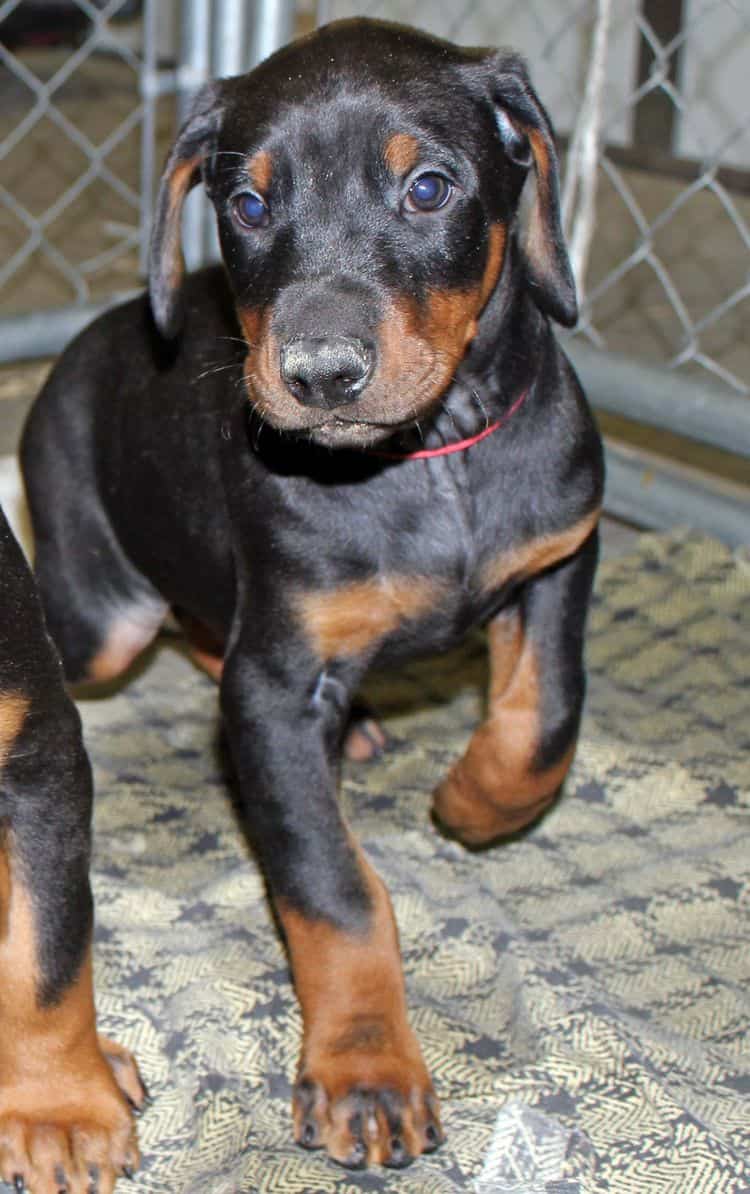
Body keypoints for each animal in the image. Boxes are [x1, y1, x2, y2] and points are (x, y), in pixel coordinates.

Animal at [21, 16, 604, 1174]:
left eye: (428, 188)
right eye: (247, 205)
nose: (319, 373)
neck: (428, 457)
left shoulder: (560, 554)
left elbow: (545, 718)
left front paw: (473, 801)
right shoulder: (276, 689)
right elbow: (334, 887)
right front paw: (365, 1069)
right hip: (106, 616)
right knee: (165, 633)